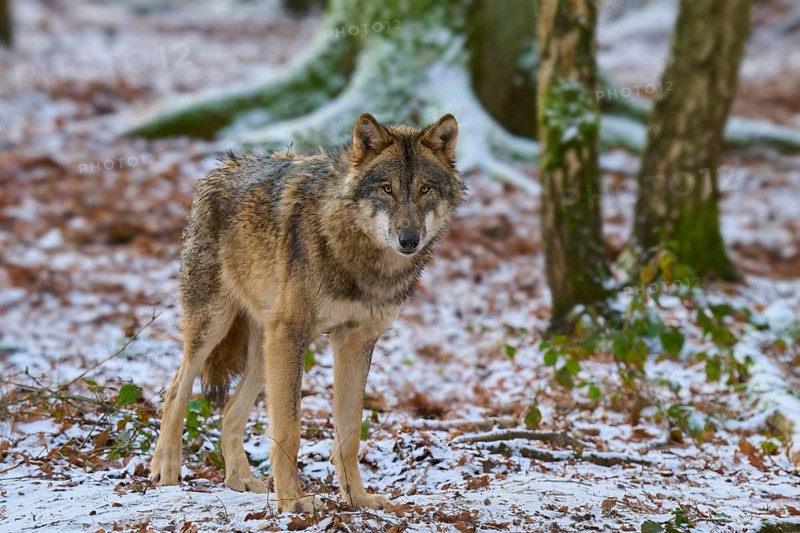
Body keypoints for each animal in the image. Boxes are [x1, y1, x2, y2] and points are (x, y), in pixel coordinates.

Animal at [149, 113, 464, 513]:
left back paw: (240, 480)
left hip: (266, 351)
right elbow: (289, 429)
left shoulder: (354, 341)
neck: (361, 260)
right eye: (386, 189)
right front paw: (292, 502)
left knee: (230, 410)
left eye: (424, 189)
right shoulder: (293, 333)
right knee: (177, 387)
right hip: (218, 327)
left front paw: (357, 498)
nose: (409, 240)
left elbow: (349, 432)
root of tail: (220, 167)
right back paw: (166, 469)